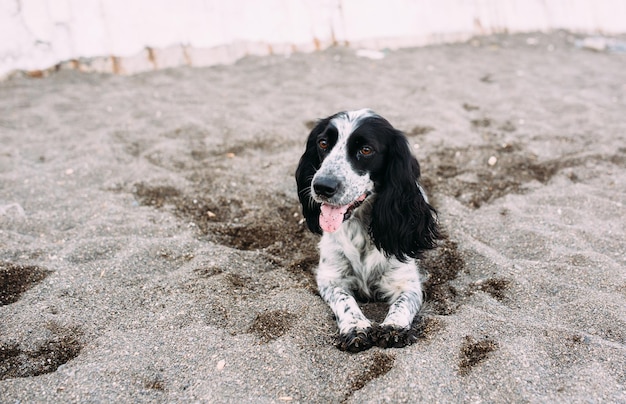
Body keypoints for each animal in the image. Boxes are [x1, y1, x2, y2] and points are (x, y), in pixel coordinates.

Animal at [294, 109, 436, 352]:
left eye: (366, 150)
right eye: (323, 143)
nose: (322, 186)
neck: (360, 226)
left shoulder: (406, 279)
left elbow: (404, 301)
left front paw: (393, 327)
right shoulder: (330, 277)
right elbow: (344, 299)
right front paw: (355, 327)